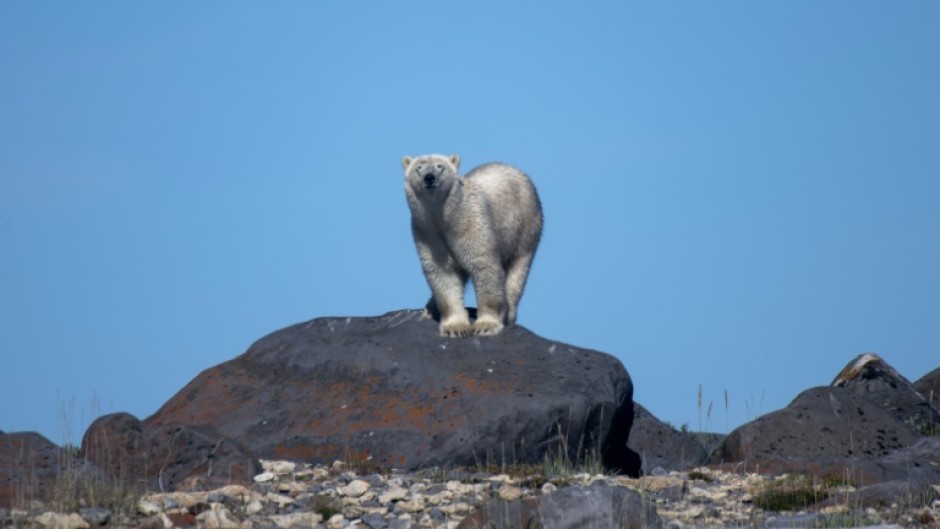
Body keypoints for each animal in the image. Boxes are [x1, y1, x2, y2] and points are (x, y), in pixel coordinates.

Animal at [402, 153, 544, 336]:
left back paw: (509, 312)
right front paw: (455, 327)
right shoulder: (427, 233)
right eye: (419, 167)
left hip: (526, 228)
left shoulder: (472, 224)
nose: (429, 177)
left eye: (440, 166)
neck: (446, 218)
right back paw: (429, 309)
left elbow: (484, 266)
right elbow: (443, 273)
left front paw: (486, 325)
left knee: (517, 271)